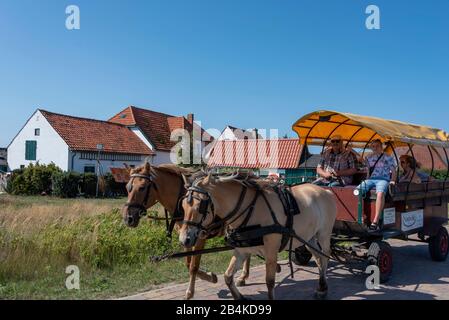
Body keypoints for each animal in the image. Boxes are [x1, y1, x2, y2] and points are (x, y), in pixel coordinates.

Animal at [121, 162, 252, 300]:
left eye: (142, 187)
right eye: (127, 187)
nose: (128, 218)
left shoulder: (199, 237)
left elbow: (193, 266)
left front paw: (192, 290)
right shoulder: (186, 237)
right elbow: (188, 263)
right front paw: (209, 276)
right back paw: (243, 277)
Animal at [178, 172, 336, 300]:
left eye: (200, 207)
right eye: (183, 205)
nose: (184, 240)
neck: (250, 209)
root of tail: (326, 191)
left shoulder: (271, 249)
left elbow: (270, 281)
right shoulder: (241, 250)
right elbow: (228, 276)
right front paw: (240, 296)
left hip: (324, 234)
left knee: (325, 255)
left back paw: (323, 289)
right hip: (309, 237)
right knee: (318, 257)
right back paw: (321, 286)